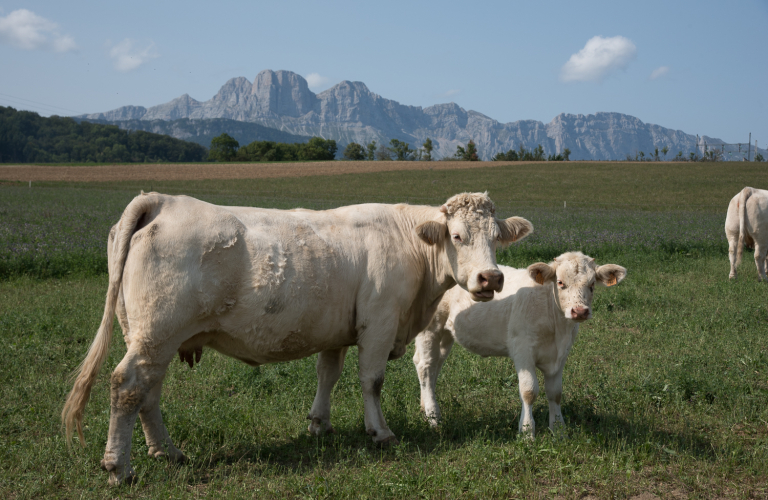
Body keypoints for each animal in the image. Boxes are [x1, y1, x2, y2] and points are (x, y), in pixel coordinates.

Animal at [61, 190, 536, 484]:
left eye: (497, 238)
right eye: (457, 236)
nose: (490, 278)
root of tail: (160, 200)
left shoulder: (338, 329)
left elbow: (328, 374)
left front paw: (319, 424)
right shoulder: (379, 323)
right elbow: (372, 381)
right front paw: (380, 432)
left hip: (150, 337)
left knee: (148, 393)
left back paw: (167, 452)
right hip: (156, 333)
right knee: (127, 387)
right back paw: (119, 467)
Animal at [414, 252, 624, 436]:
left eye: (592, 284)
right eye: (560, 282)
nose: (580, 311)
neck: (557, 326)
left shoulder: (561, 354)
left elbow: (555, 393)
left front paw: (559, 430)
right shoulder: (522, 350)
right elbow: (529, 391)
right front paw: (526, 432)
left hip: (446, 334)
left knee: (433, 365)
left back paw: (425, 408)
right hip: (430, 327)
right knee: (425, 366)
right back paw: (434, 418)